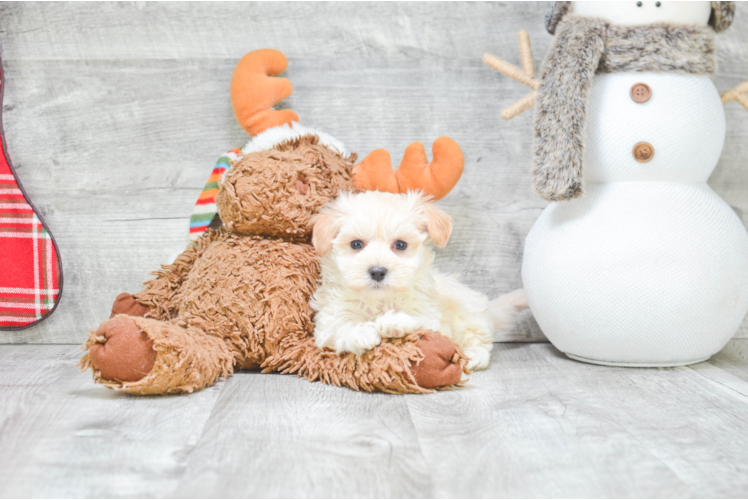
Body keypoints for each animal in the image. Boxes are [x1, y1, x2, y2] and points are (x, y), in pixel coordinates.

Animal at [308, 191, 524, 372]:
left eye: (400, 245)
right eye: (356, 244)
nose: (377, 271)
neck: (380, 300)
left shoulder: (430, 315)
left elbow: (418, 319)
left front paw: (393, 321)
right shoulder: (329, 320)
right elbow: (340, 327)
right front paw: (361, 333)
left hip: (466, 316)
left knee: (479, 339)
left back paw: (474, 356)